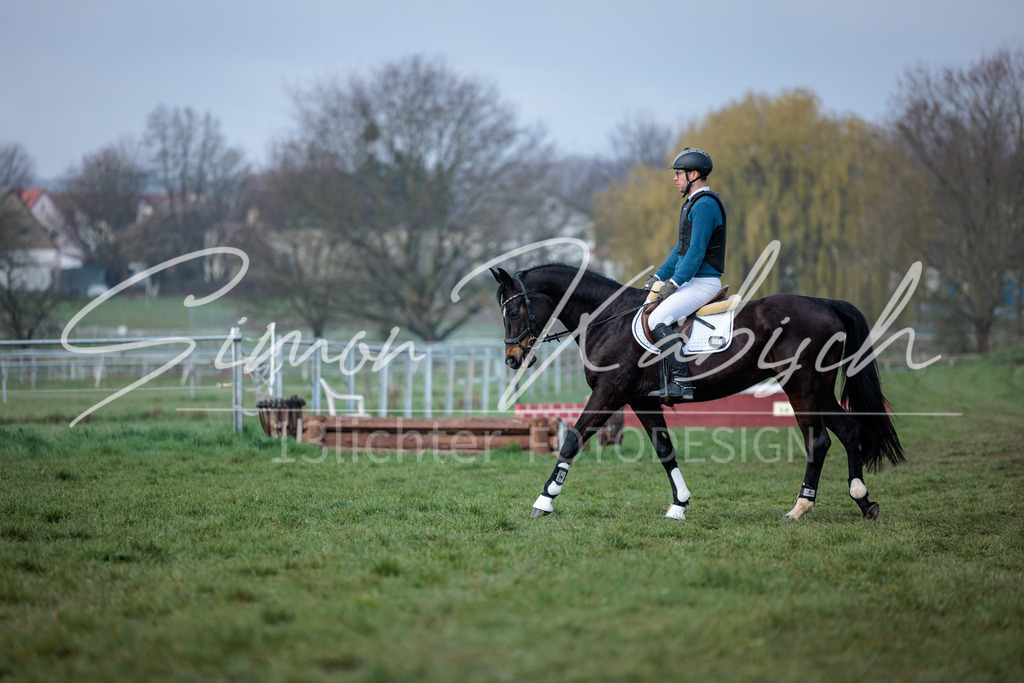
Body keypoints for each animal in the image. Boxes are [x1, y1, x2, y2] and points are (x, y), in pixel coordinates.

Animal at [491, 263, 904, 521]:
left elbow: (572, 440)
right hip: (818, 389)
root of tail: (825, 303)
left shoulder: (609, 394)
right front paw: (679, 505)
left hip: (801, 385)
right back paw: (863, 501)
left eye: (513, 312)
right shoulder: (639, 400)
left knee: (818, 441)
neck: (610, 320)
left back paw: (801, 507)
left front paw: (544, 501)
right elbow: (665, 450)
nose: (512, 359)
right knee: (850, 431)